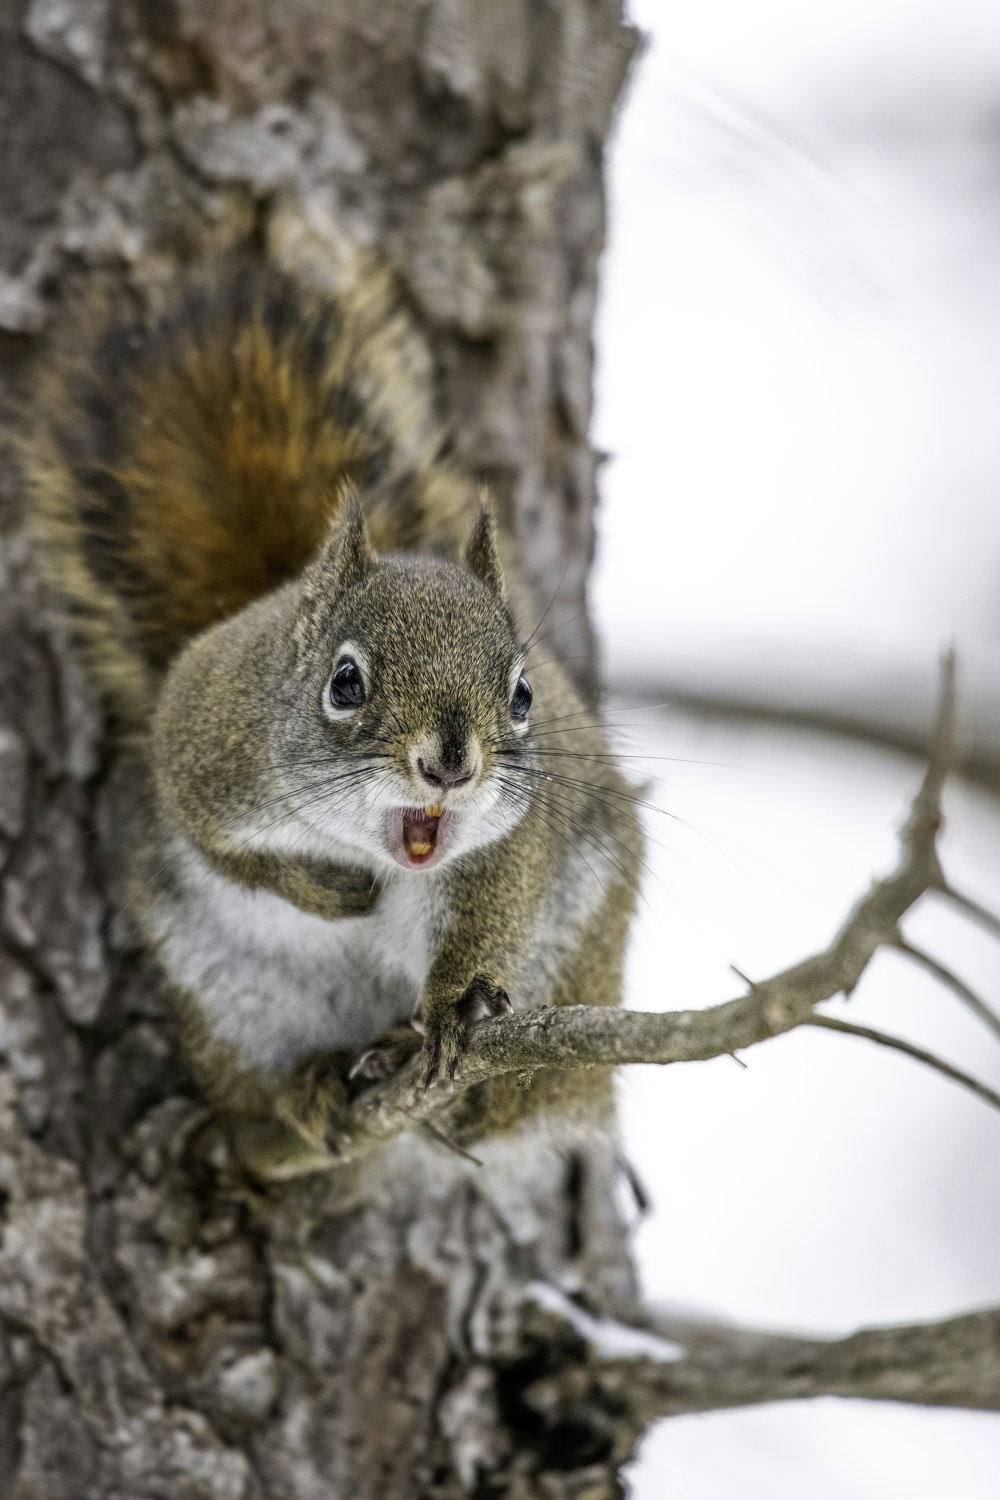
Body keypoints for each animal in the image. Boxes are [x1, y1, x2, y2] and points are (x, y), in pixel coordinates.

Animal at [25, 261, 650, 1182]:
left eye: (523, 695)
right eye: (345, 683)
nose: (452, 763)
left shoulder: (512, 838)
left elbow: (492, 908)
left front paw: (454, 1005)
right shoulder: (204, 744)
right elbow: (217, 842)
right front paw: (322, 890)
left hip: (572, 962)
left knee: (516, 1104)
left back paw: (428, 1068)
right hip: (228, 998)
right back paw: (300, 1094)